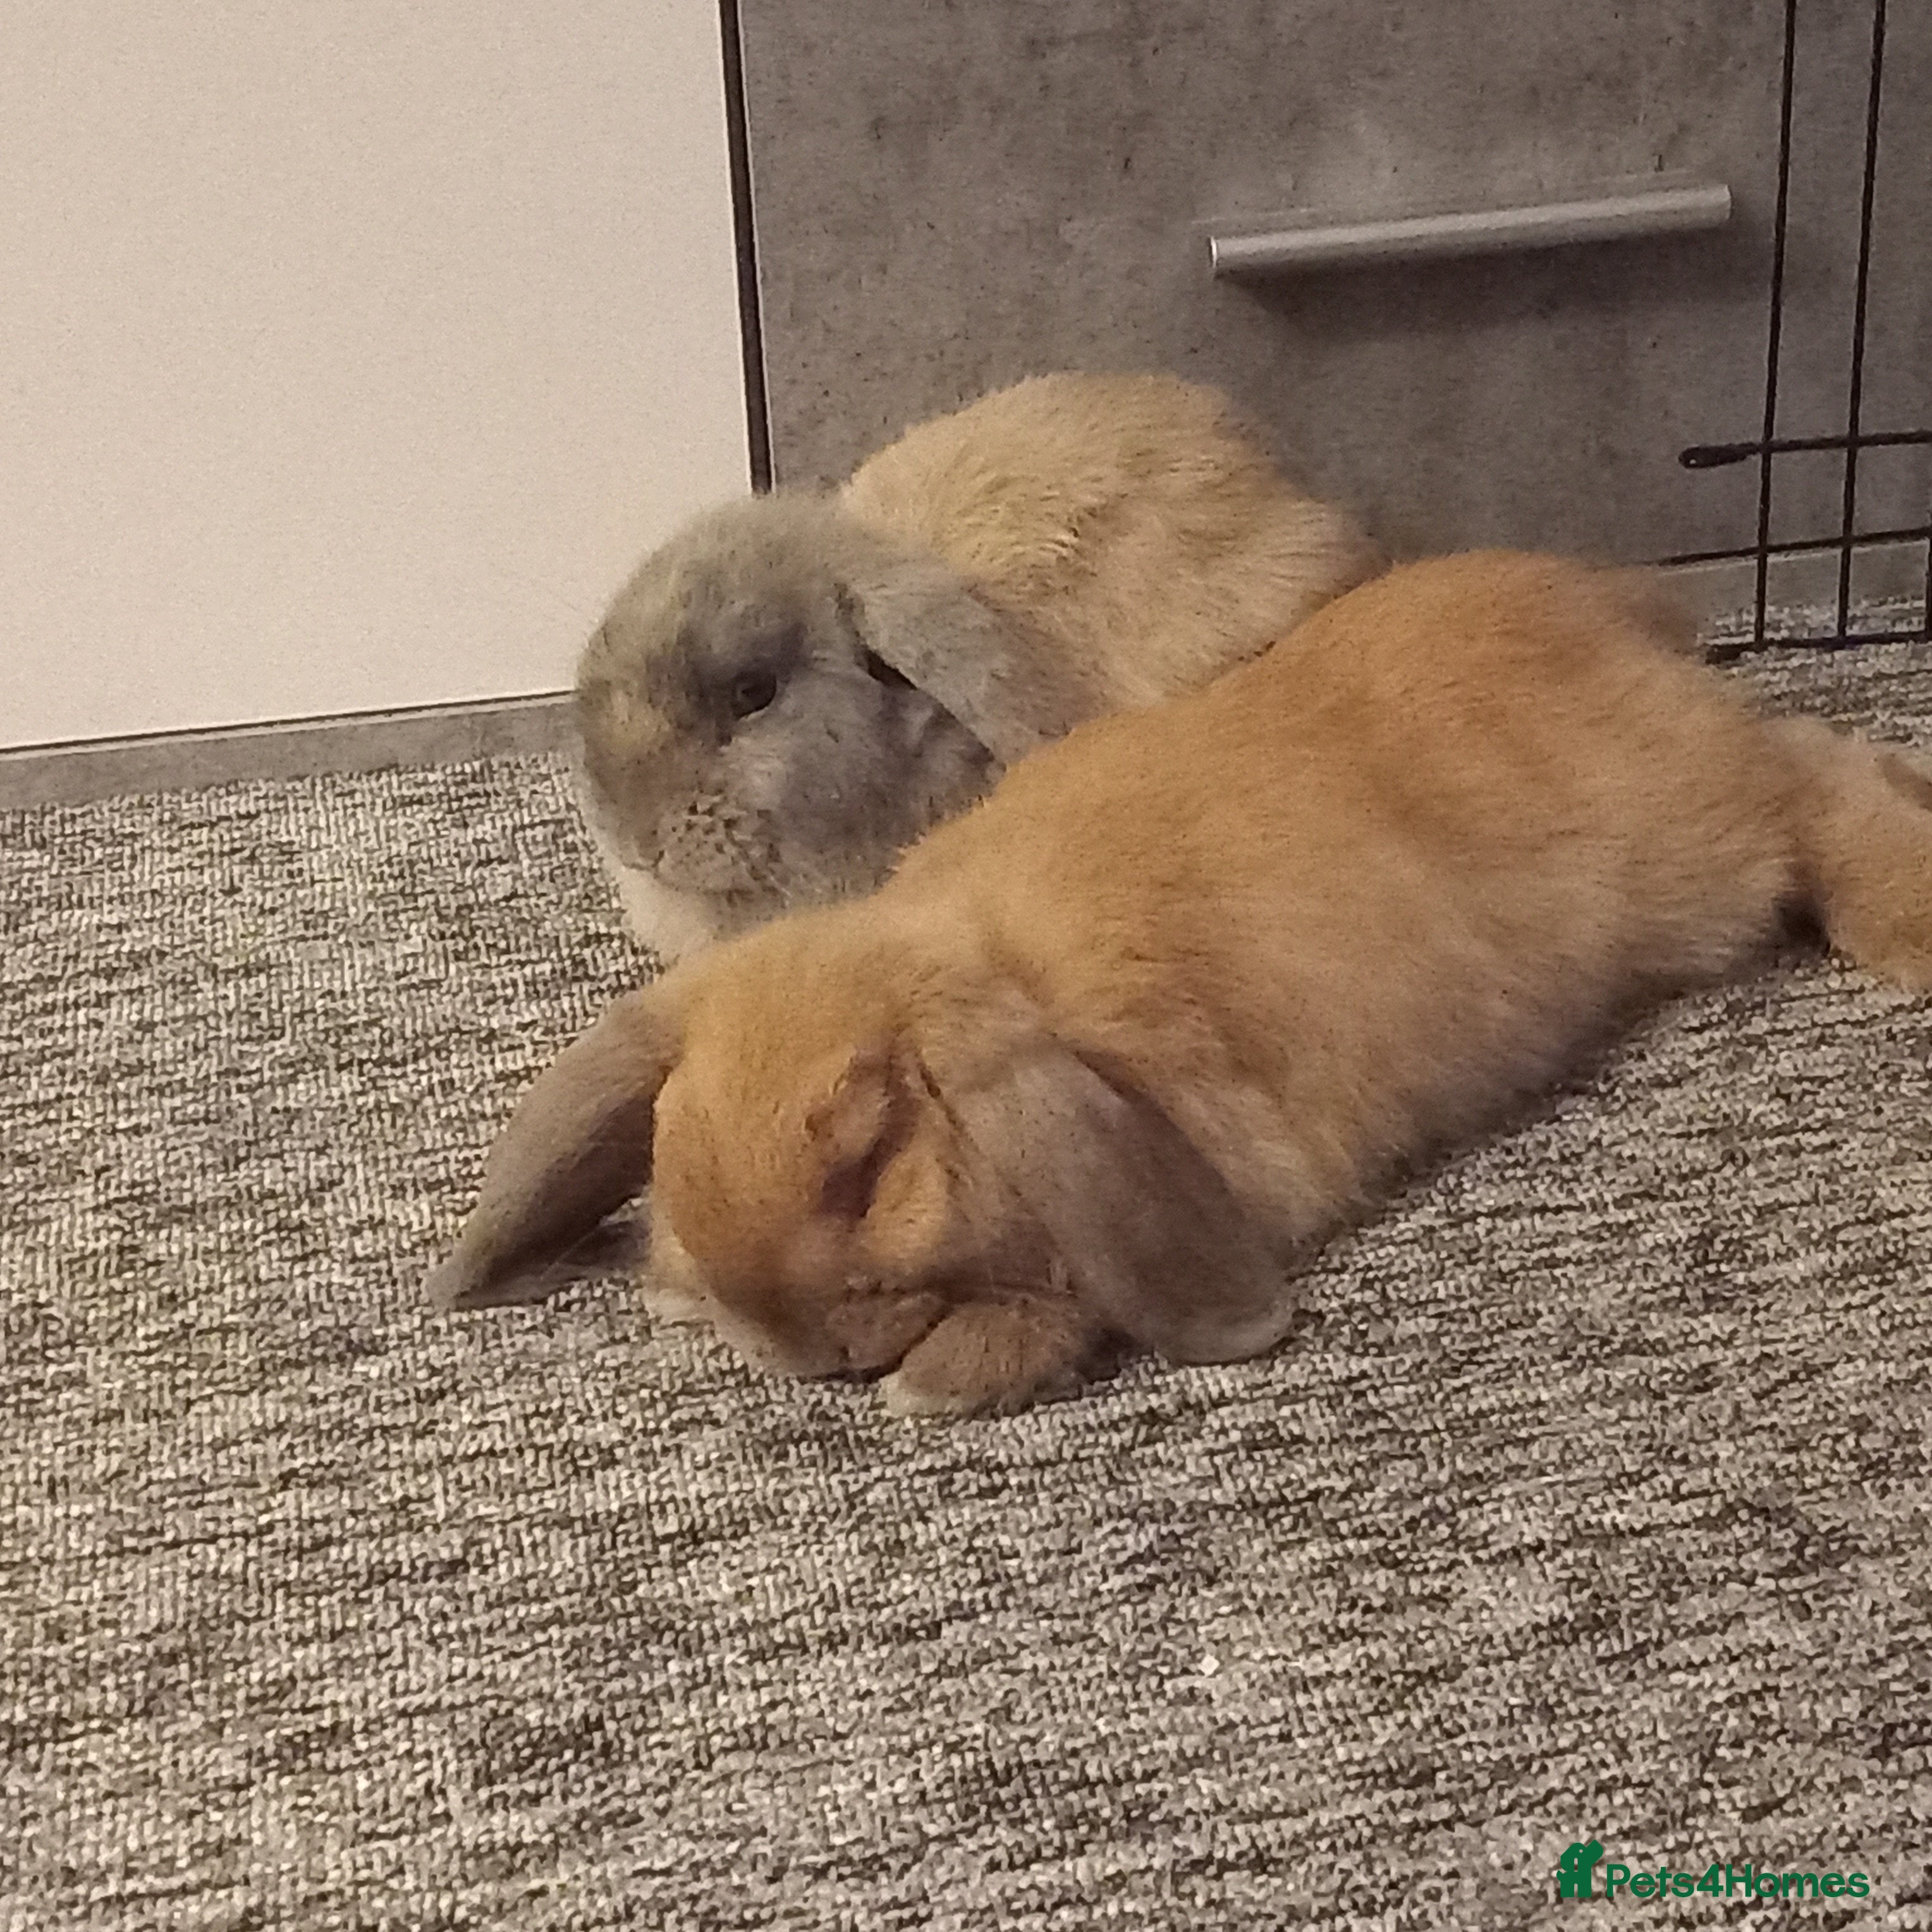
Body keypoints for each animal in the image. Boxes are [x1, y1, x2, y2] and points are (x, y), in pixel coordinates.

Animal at [427, 551, 1932, 1415]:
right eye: (669, 1146)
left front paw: (944, 1377)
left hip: (1693, 844)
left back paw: (1906, 926)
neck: (986, 967)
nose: (797, 1350)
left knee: (1812, 769)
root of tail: (1609, 601)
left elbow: (1075, 1295)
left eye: (865, 1162)